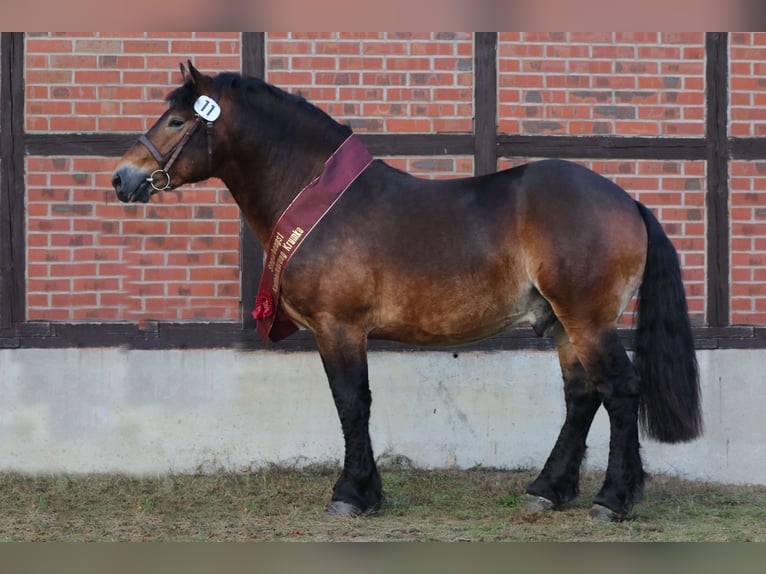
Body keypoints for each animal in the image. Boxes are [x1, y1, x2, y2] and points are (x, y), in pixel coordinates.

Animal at [111, 62, 704, 520]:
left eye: (177, 120)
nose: (122, 178)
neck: (317, 196)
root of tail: (626, 201)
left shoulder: (339, 327)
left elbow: (351, 403)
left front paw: (351, 494)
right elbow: (356, 404)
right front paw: (367, 492)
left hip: (587, 319)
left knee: (620, 390)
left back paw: (613, 499)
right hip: (562, 323)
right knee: (582, 396)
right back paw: (545, 490)